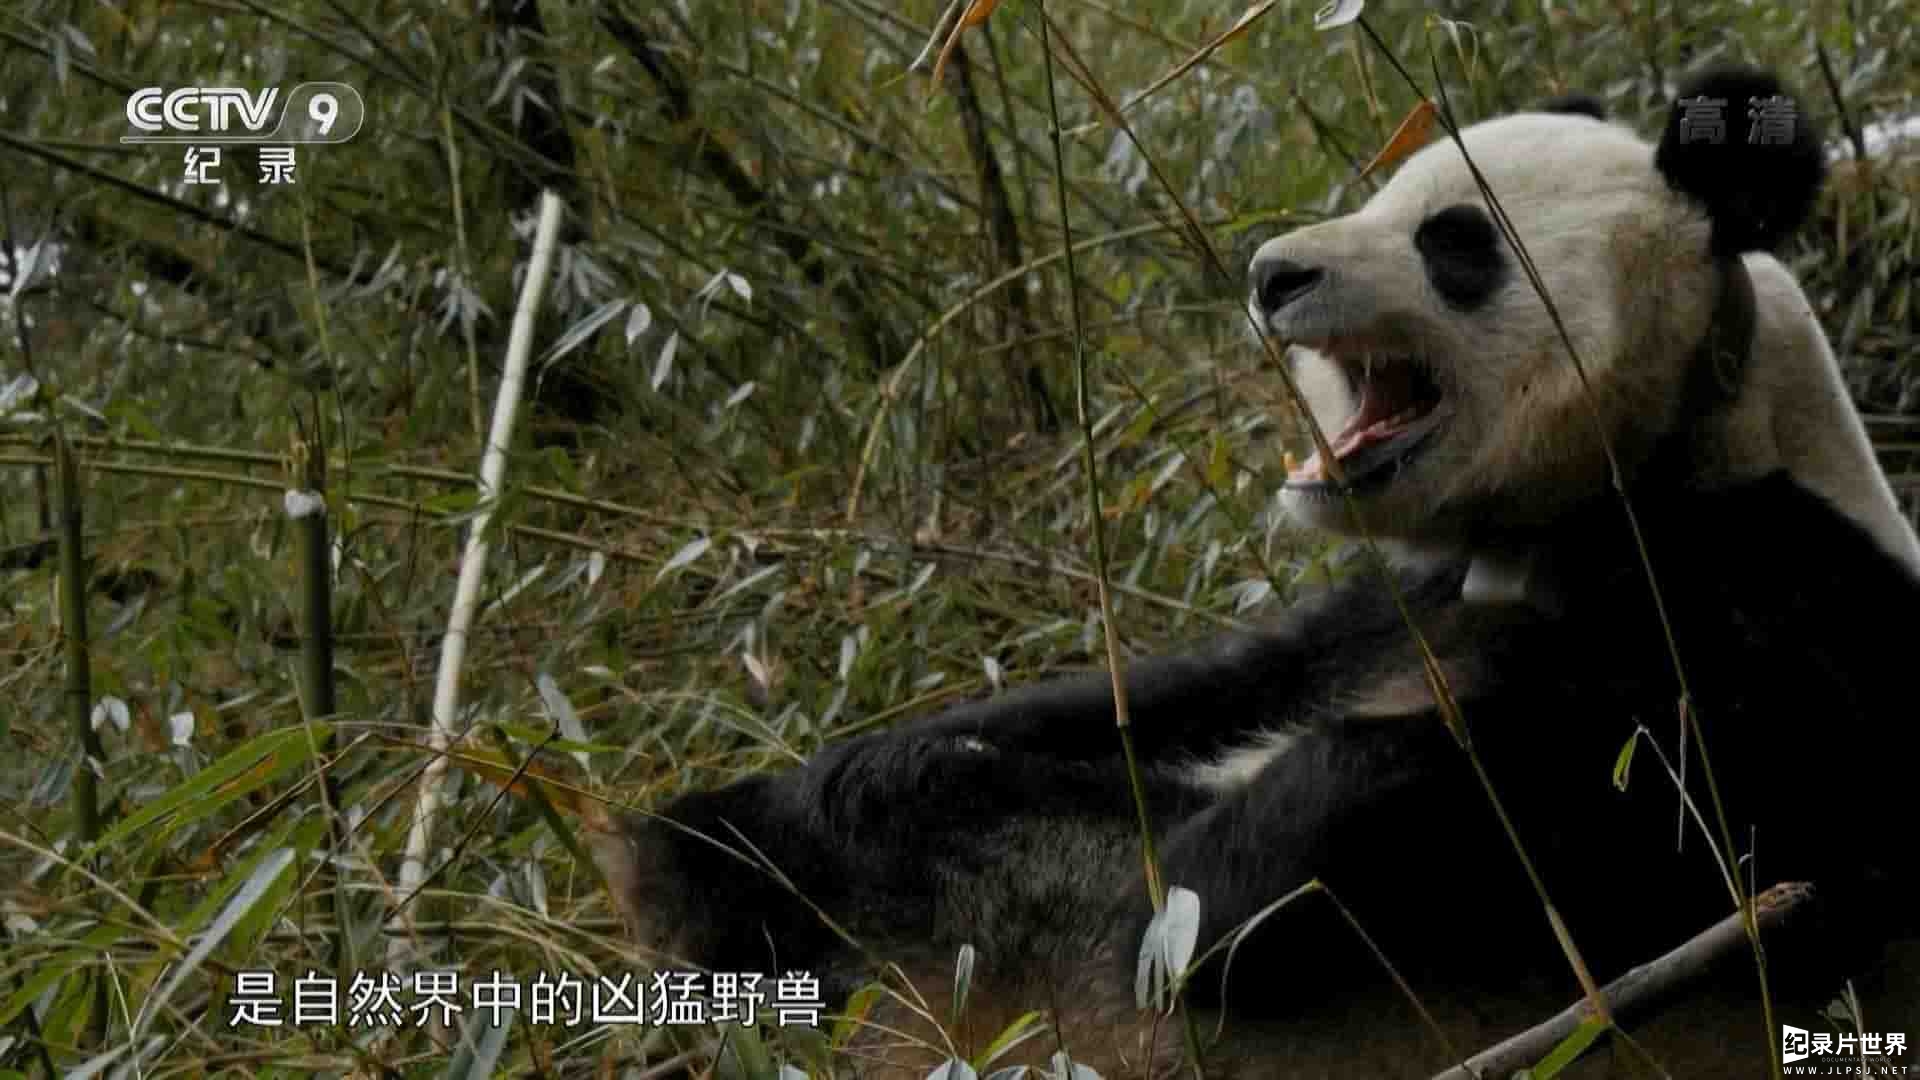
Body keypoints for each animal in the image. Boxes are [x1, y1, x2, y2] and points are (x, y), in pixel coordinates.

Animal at [583, 69, 1920, 1076]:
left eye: (1455, 242)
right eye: (1385, 189)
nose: (1273, 271)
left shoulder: (1768, 606)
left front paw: (1222, 874)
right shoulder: (1387, 599)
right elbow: (1185, 689)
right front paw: (869, 769)